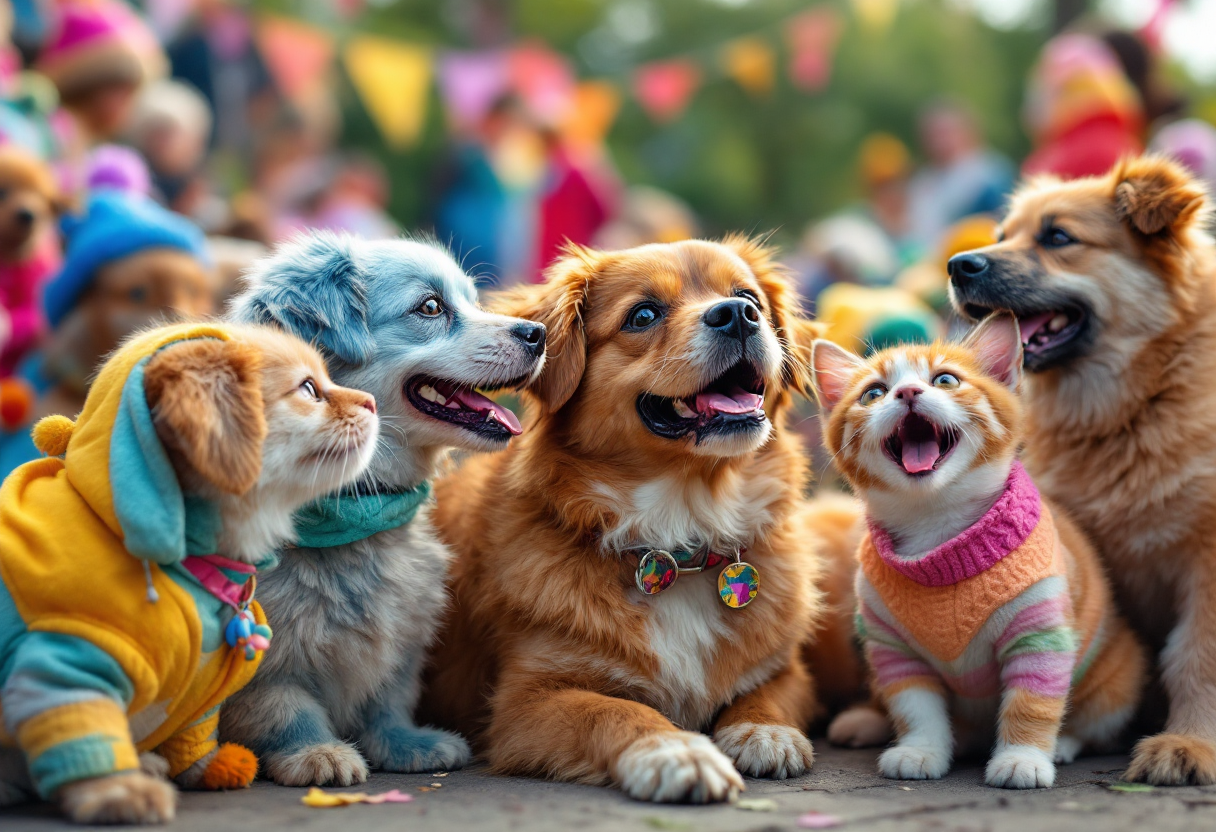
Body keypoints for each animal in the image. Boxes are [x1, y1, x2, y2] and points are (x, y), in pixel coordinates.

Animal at [220, 233, 547, 788]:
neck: (356, 508)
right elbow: (285, 709)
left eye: (472, 299)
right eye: (431, 307)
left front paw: (404, 744)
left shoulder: (403, 643)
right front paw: (317, 753)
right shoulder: (266, 662)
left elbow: (387, 700)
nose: (539, 332)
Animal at [423, 237, 841, 802]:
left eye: (748, 297)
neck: (682, 533)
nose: (738, 315)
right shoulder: (523, 703)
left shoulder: (789, 670)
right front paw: (676, 751)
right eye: (643, 315)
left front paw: (763, 729)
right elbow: (614, 710)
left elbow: (767, 693)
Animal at [948, 155, 1216, 788]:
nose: (956, 265)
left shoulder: (1206, 560)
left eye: (1058, 237)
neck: (1127, 413)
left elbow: (1195, 657)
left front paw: (1189, 743)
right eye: (1002, 234)